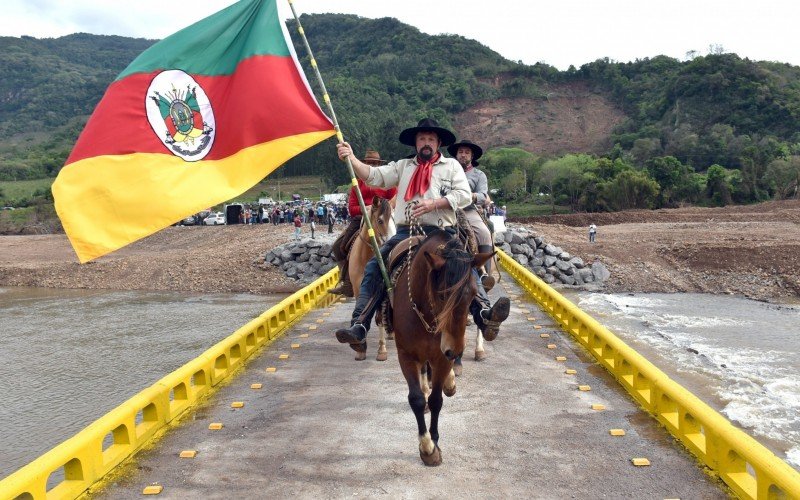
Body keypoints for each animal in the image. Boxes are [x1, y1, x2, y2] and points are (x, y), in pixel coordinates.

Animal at [390, 229, 490, 466]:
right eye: (443, 295)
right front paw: (426, 447)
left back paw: (450, 381)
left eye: (474, 294)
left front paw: (434, 443)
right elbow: (416, 399)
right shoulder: (406, 356)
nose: (456, 350)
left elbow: (436, 400)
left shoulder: (441, 357)